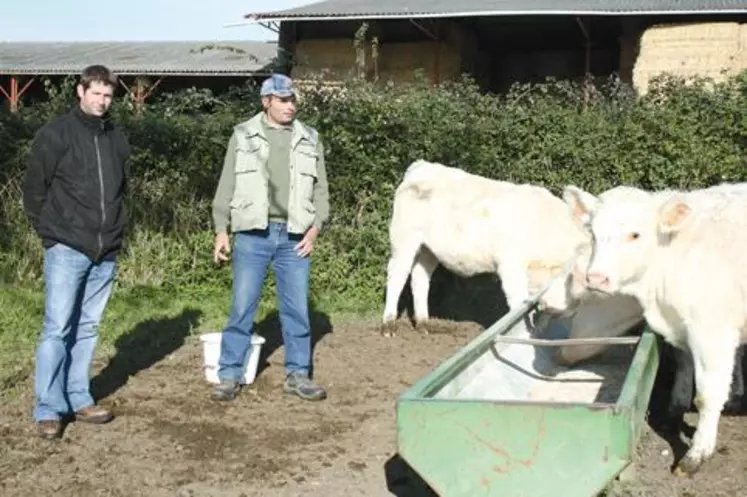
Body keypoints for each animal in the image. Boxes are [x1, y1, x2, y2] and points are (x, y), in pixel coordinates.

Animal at [564, 181, 747, 472]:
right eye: (592, 233)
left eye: (635, 235)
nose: (597, 278)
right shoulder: (682, 327)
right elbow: (683, 371)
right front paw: (673, 415)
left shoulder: (712, 332)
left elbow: (708, 394)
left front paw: (698, 452)